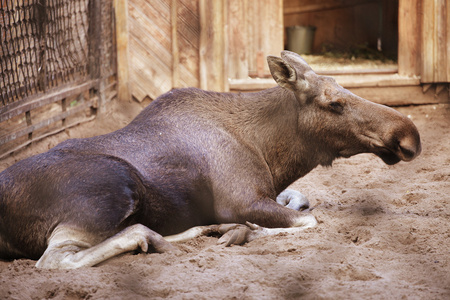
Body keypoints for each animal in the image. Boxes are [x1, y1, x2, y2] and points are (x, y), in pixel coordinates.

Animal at [0, 50, 422, 268]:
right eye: (334, 103)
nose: (409, 136)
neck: (270, 151)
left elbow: (301, 200)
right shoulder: (243, 199)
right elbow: (309, 218)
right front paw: (244, 230)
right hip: (113, 188)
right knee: (57, 259)